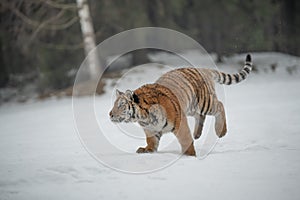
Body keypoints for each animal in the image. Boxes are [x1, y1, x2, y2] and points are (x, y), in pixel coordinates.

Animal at [109, 54, 252, 156]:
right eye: (114, 104)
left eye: (121, 105)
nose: (110, 114)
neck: (143, 117)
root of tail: (202, 69)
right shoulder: (151, 129)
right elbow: (152, 141)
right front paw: (147, 150)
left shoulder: (180, 121)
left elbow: (185, 139)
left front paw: (190, 155)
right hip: (192, 108)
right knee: (200, 116)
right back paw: (197, 134)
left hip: (204, 103)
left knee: (220, 105)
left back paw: (221, 131)